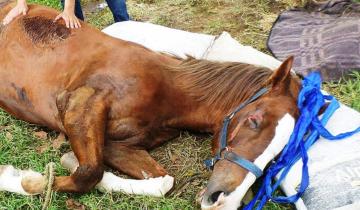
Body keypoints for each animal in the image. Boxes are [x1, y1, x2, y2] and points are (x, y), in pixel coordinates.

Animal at [0, 1, 300, 210]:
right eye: (254, 120)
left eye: (278, 156)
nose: (223, 201)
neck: (168, 92)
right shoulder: (80, 105)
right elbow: (88, 173)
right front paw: (18, 178)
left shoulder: (118, 144)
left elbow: (161, 182)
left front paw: (69, 161)